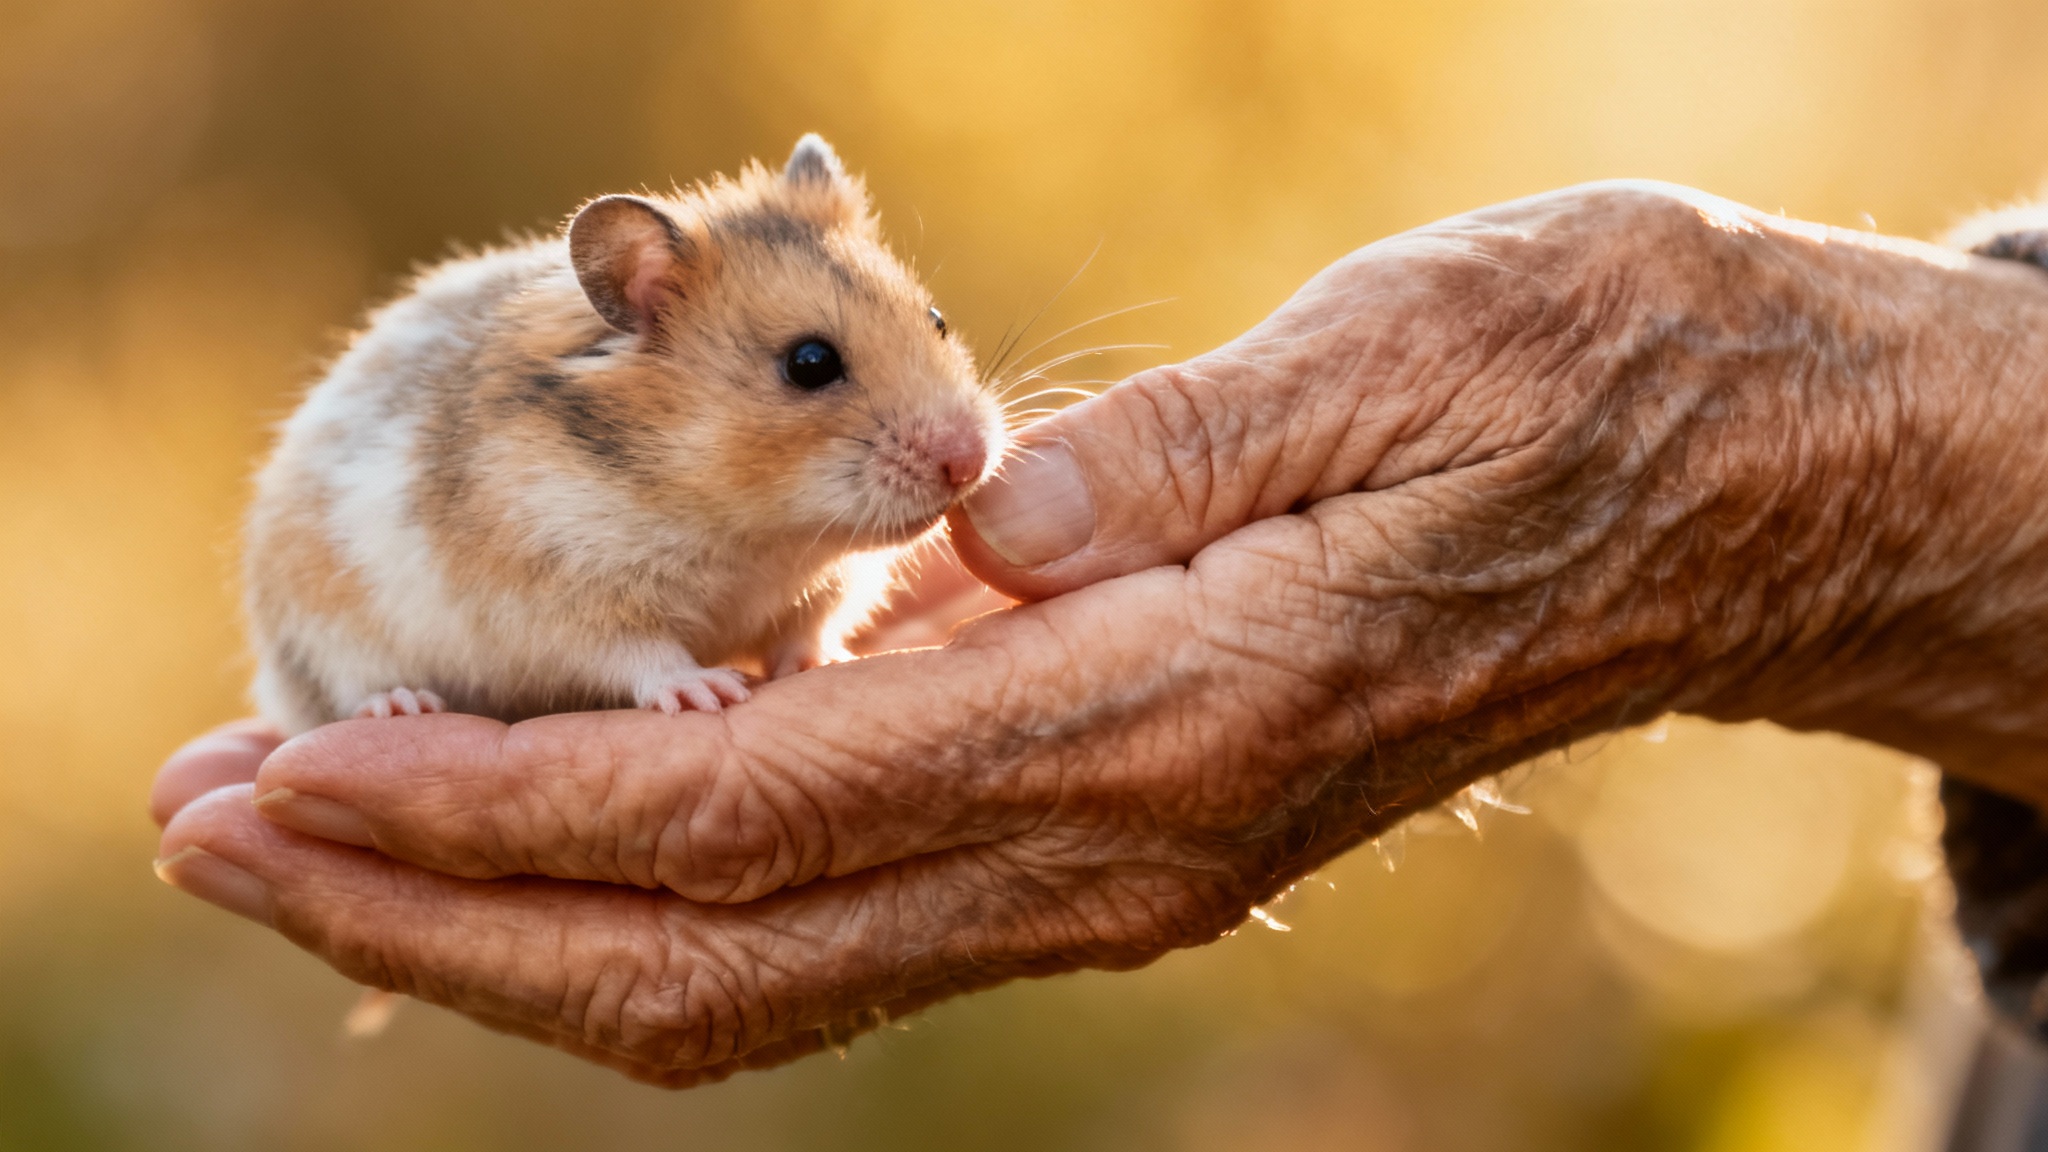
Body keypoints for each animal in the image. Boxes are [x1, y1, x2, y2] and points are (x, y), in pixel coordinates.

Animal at [244, 135, 1005, 734]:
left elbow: (806, 628)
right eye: (810, 363)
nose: (969, 462)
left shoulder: (824, 586)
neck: (749, 531)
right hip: (317, 629)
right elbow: (639, 653)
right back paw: (402, 705)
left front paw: (828, 663)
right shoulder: (562, 592)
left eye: (936, 319)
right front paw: (707, 691)